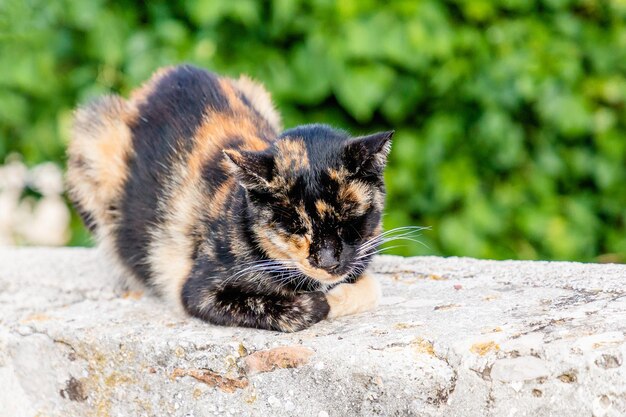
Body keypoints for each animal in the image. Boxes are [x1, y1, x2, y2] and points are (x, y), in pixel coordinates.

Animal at [67, 64, 390, 332]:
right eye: (294, 227)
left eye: (349, 221)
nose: (327, 261)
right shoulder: (198, 289)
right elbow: (299, 305)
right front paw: (321, 300)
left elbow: (370, 287)